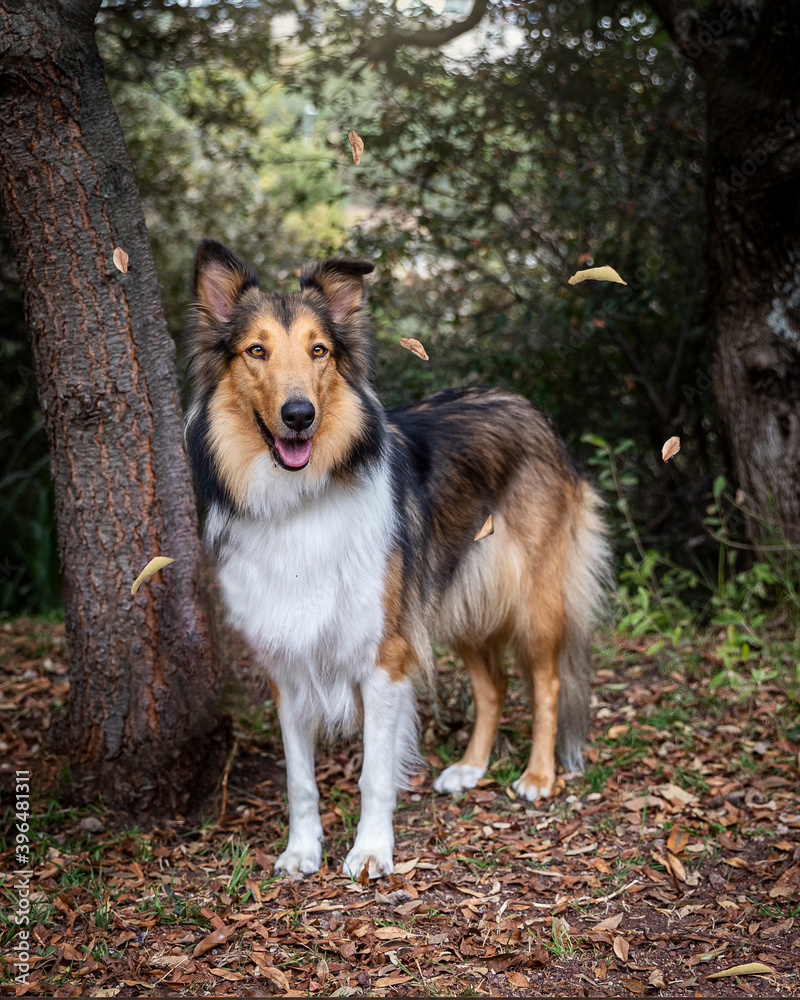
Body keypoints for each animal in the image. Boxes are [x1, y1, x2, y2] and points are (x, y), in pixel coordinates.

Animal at [184, 238, 608, 880]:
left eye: (319, 350)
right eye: (256, 350)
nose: (300, 415)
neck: (301, 499)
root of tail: (528, 407)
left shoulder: (383, 656)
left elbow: (373, 774)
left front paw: (371, 851)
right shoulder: (289, 665)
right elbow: (300, 779)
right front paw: (302, 851)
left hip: (531, 598)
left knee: (547, 682)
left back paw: (538, 775)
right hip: (457, 599)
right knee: (493, 686)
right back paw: (470, 768)